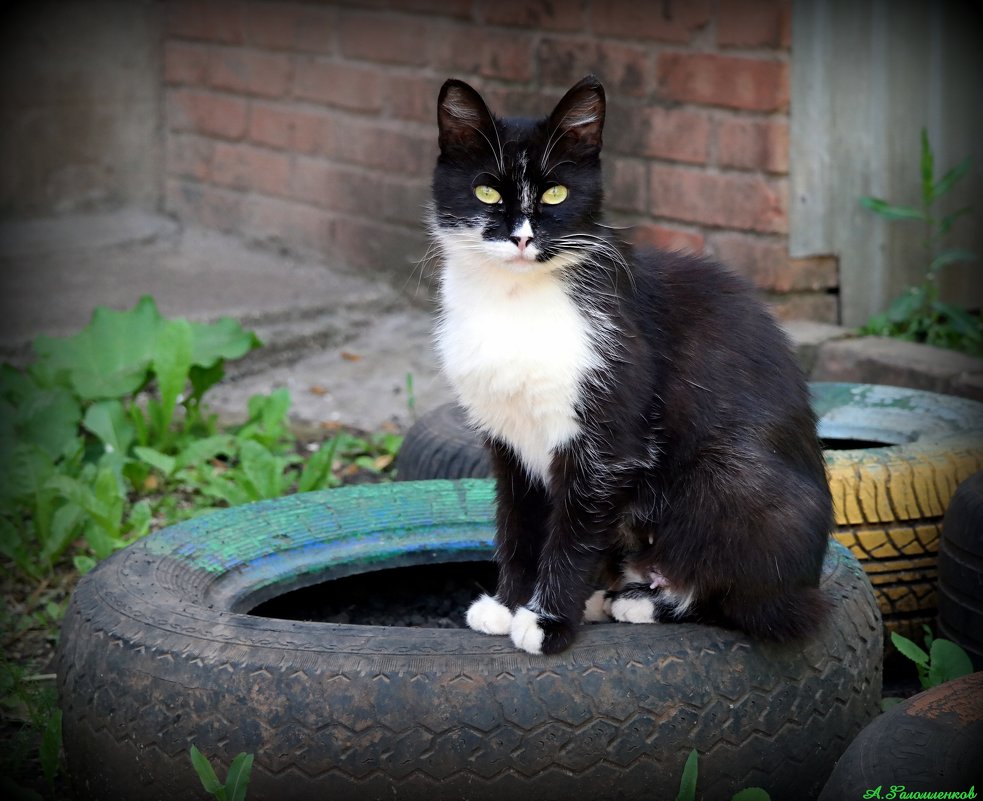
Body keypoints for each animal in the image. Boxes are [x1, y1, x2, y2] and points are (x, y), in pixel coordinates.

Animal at [428, 75, 832, 652]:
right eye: (486, 191)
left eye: (556, 193)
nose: (522, 238)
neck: (514, 299)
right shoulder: (506, 437)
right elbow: (518, 520)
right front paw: (508, 605)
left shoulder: (609, 437)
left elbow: (573, 530)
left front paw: (547, 621)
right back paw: (620, 594)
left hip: (730, 477)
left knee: (755, 605)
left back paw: (649, 602)